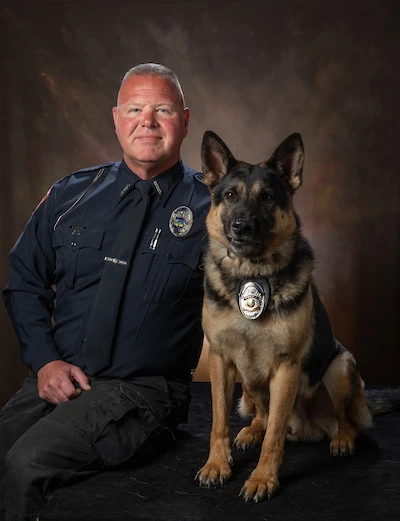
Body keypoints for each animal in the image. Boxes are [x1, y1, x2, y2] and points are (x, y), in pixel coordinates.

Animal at [195, 132, 374, 502]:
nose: (242, 226)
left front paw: (263, 479)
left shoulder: (286, 367)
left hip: (340, 367)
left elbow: (275, 436)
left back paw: (343, 439)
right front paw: (217, 465)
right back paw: (252, 431)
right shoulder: (219, 360)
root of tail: (306, 427)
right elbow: (219, 422)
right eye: (230, 195)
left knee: (345, 420)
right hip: (247, 386)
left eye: (266, 197)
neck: (250, 273)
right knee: (262, 415)